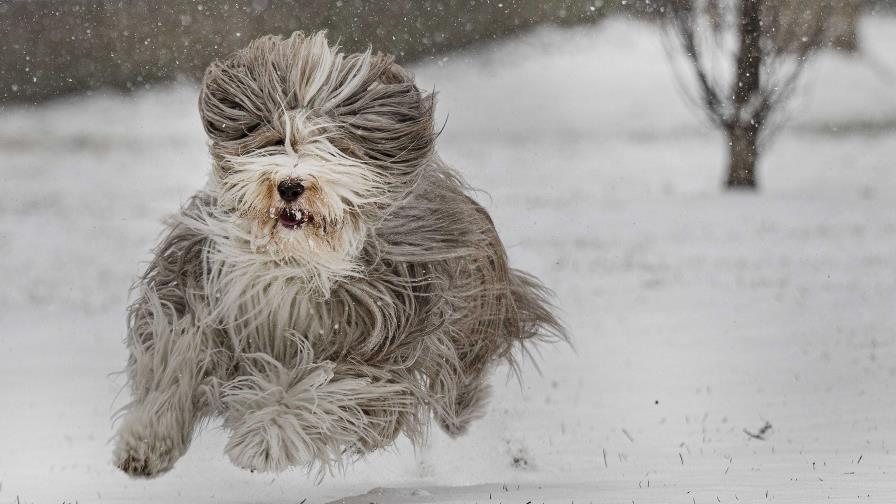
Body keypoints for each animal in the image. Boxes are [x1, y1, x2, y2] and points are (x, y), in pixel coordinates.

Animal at [110, 31, 560, 480]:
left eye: (335, 147)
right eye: (274, 138)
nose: (290, 185)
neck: (294, 260)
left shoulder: (385, 340)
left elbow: (319, 387)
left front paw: (263, 442)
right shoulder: (202, 285)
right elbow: (176, 352)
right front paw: (147, 439)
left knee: (458, 381)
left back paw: (462, 413)